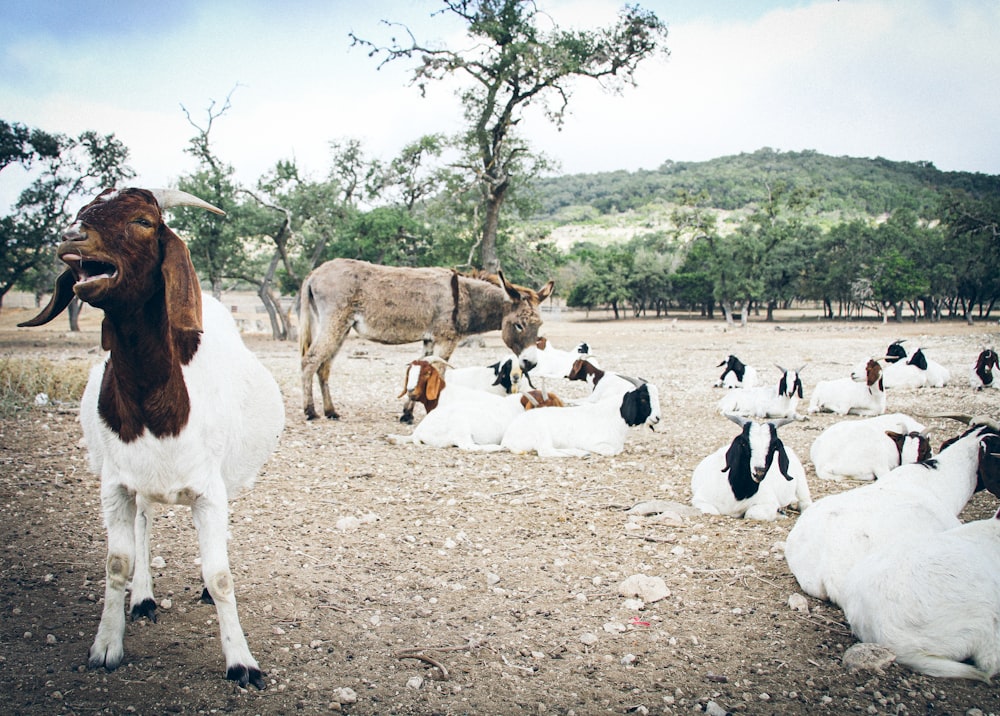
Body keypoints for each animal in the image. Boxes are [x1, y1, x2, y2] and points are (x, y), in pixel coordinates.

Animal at [17, 187, 284, 692]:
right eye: (82, 211)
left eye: (143, 221)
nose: (72, 237)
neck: (155, 406)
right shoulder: (115, 485)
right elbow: (117, 562)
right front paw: (106, 644)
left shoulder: (209, 491)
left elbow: (220, 575)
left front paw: (242, 662)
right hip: (137, 483)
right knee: (144, 522)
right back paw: (141, 598)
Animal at [504, 378, 660, 456]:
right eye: (644, 399)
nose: (657, 417)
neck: (614, 414)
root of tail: (508, 437)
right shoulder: (597, 444)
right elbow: (611, 452)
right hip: (542, 435)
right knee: (545, 451)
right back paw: (581, 452)